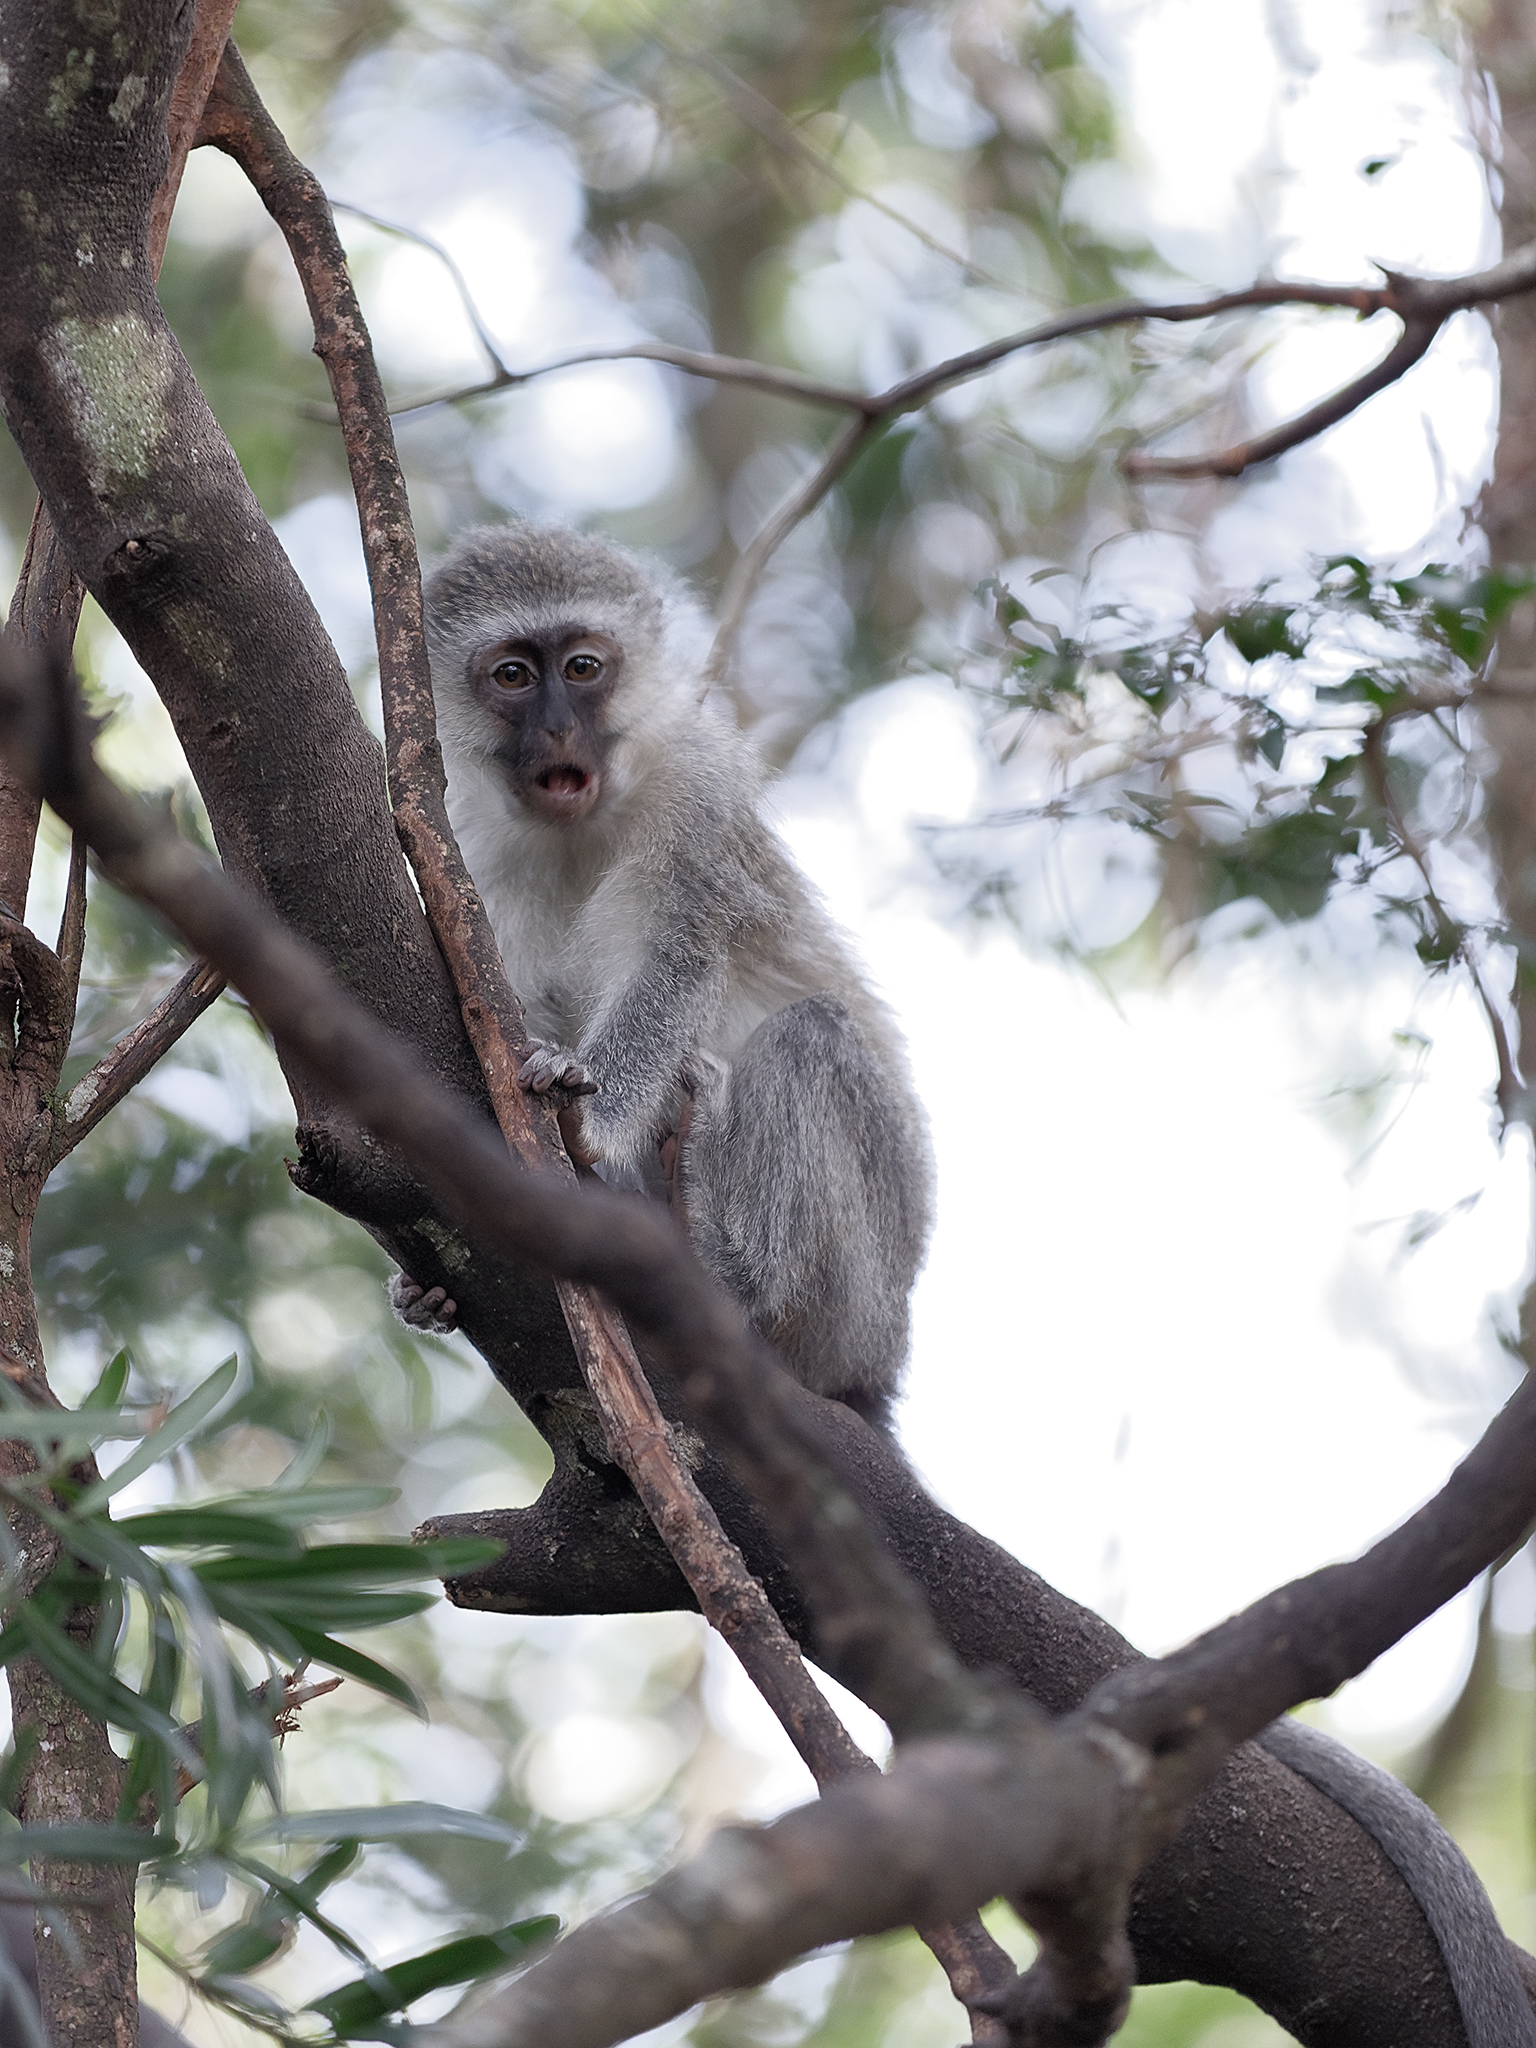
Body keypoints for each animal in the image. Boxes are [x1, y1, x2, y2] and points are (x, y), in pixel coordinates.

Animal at [393, 519, 935, 1424]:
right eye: (514, 675)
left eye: (582, 667)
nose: (558, 731)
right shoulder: (464, 854)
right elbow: (509, 1003)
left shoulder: (696, 795)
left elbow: (673, 965)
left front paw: (585, 1120)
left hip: (861, 1303)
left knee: (809, 1035)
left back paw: (729, 1278)